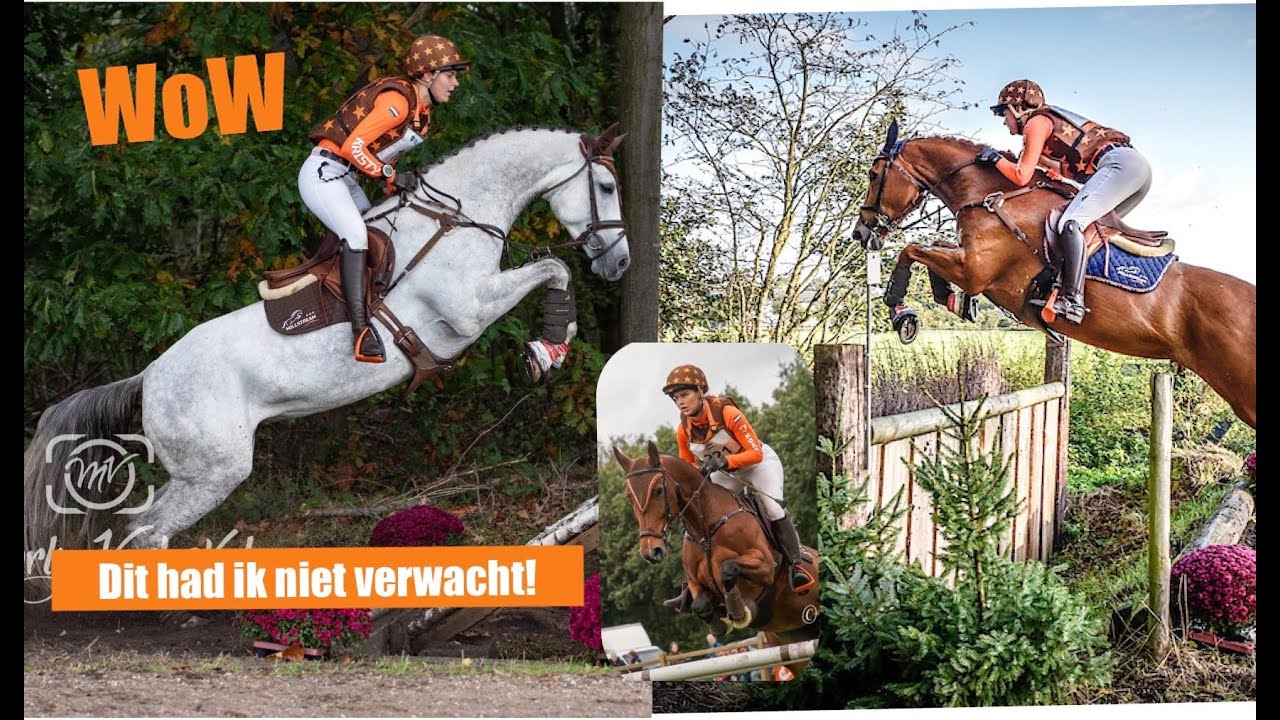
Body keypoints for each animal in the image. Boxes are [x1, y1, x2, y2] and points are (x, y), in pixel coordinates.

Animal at [24, 126, 631, 575]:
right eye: (605, 186)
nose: (619, 262)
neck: (459, 217)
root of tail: (148, 377)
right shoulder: (468, 312)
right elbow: (552, 268)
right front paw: (549, 346)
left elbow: (550, 268)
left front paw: (550, 347)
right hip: (214, 471)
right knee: (146, 530)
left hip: (197, 471)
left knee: (144, 529)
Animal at [612, 442, 820, 664]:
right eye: (629, 497)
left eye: (658, 491)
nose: (651, 551)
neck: (706, 529)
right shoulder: (695, 581)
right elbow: (700, 604)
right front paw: (718, 624)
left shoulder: (765, 567)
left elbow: (727, 569)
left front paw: (738, 612)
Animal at [851, 122, 1256, 429]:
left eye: (873, 174)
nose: (860, 232)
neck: (990, 195)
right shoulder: (967, 262)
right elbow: (930, 248)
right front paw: (955, 302)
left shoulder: (975, 270)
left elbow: (911, 249)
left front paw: (901, 311)